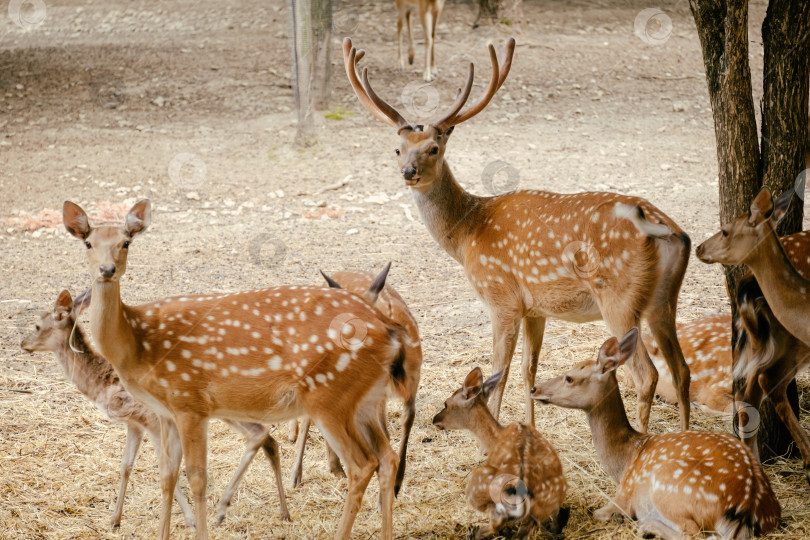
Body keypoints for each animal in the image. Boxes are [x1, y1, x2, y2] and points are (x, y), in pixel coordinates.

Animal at [19, 288, 292, 528]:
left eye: (37, 325)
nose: (23, 343)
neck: (100, 383)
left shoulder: (150, 419)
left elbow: (166, 467)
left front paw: (190, 520)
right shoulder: (134, 423)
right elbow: (126, 466)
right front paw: (114, 520)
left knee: (260, 434)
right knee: (268, 438)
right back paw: (284, 513)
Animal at [63, 199, 408, 540]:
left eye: (126, 242)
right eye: (88, 243)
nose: (107, 270)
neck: (138, 344)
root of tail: (389, 329)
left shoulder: (189, 401)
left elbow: (198, 479)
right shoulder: (166, 411)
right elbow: (167, 476)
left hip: (329, 397)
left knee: (362, 464)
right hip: (363, 400)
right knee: (387, 457)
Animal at [344, 35, 692, 432]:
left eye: (434, 148)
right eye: (397, 148)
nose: (408, 171)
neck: (467, 234)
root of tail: (671, 231)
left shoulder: (501, 299)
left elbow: (499, 373)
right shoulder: (536, 307)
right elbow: (529, 370)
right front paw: (530, 429)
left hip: (618, 297)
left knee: (647, 375)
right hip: (663, 299)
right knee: (681, 369)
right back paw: (687, 436)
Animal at [432, 370, 564, 536]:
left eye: (446, 403)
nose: (434, 420)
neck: (496, 438)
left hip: (476, 486)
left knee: (498, 521)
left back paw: (474, 531)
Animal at [528, 330, 780, 540]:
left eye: (569, 377)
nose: (534, 389)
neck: (625, 460)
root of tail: (747, 506)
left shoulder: (624, 495)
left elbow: (597, 513)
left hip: (668, 487)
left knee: (696, 534)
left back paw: (647, 526)